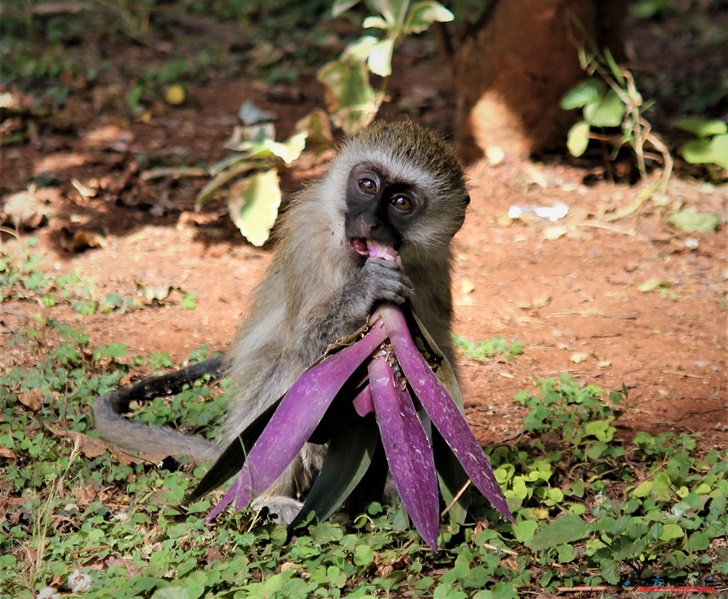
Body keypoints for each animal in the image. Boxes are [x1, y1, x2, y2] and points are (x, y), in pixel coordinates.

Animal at [94, 119, 470, 524]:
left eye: (402, 203)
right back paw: (267, 497)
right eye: (367, 185)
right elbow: (304, 344)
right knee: (293, 376)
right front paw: (364, 292)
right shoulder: (309, 238)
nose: (370, 222)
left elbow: (441, 367)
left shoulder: (434, 264)